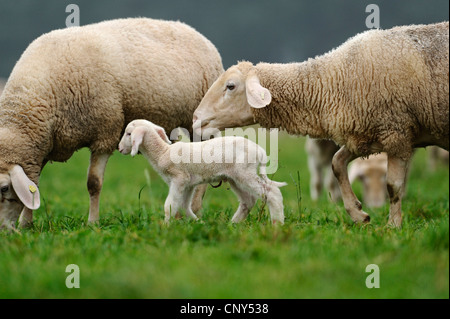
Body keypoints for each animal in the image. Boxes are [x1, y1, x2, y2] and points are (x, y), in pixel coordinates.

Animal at [0, 18, 223, 230]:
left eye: (4, 188)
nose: (3, 230)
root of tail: (192, 30)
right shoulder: (43, 146)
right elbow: (34, 185)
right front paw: (26, 224)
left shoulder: (105, 133)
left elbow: (93, 183)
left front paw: (92, 223)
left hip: (201, 124)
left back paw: (194, 208)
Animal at [118, 119, 286, 225]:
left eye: (128, 134)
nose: (119, 149)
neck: (162, 152)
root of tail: (260, 151)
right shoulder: (188, 183)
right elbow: (184, 206)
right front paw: (199, 223)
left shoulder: (179, 178)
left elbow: (169, 206)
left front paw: (165, 227)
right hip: (234, 177)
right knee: (248, 200)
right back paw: (233, 224)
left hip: (245, 173)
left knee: (272, 192)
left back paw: (277, 223)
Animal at [194, 21, 450, 228]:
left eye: (230, 86)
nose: (196, 120)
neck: (334, 80)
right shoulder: (365, 137)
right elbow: (337, 165)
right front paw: (358, 213)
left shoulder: (396, 134)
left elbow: (393, 186)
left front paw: (393, 226)